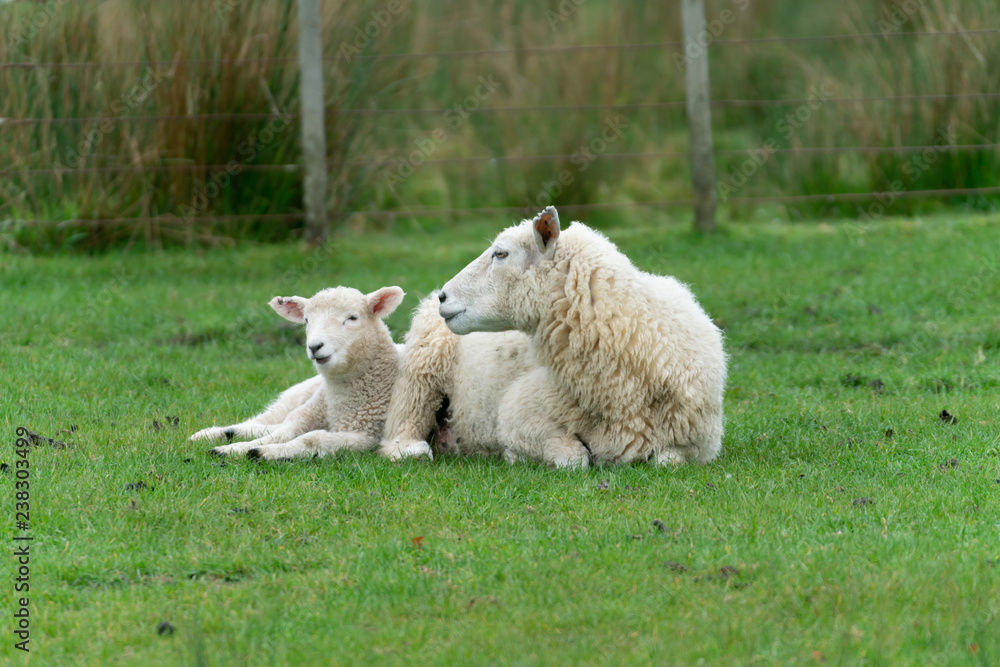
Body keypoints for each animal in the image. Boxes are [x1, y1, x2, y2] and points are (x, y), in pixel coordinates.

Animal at [190, 285, 405, 461]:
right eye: (307, 320)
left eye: (353, 318)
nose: (315, 346)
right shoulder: (307, 413)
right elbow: (281, 433)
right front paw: (236, 449)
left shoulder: (366, 436)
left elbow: (312, 438)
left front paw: (265, 452)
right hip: (296, 397)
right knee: (266, 421)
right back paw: (211, 434)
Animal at [379, 207, 726, 467]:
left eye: (500, 253)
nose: (444, 296)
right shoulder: (519, 414)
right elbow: (574, 460)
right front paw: (515, 455)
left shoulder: (698, 444)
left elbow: (667, 461)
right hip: (424, 362)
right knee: (405, 417)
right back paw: (410, 448)